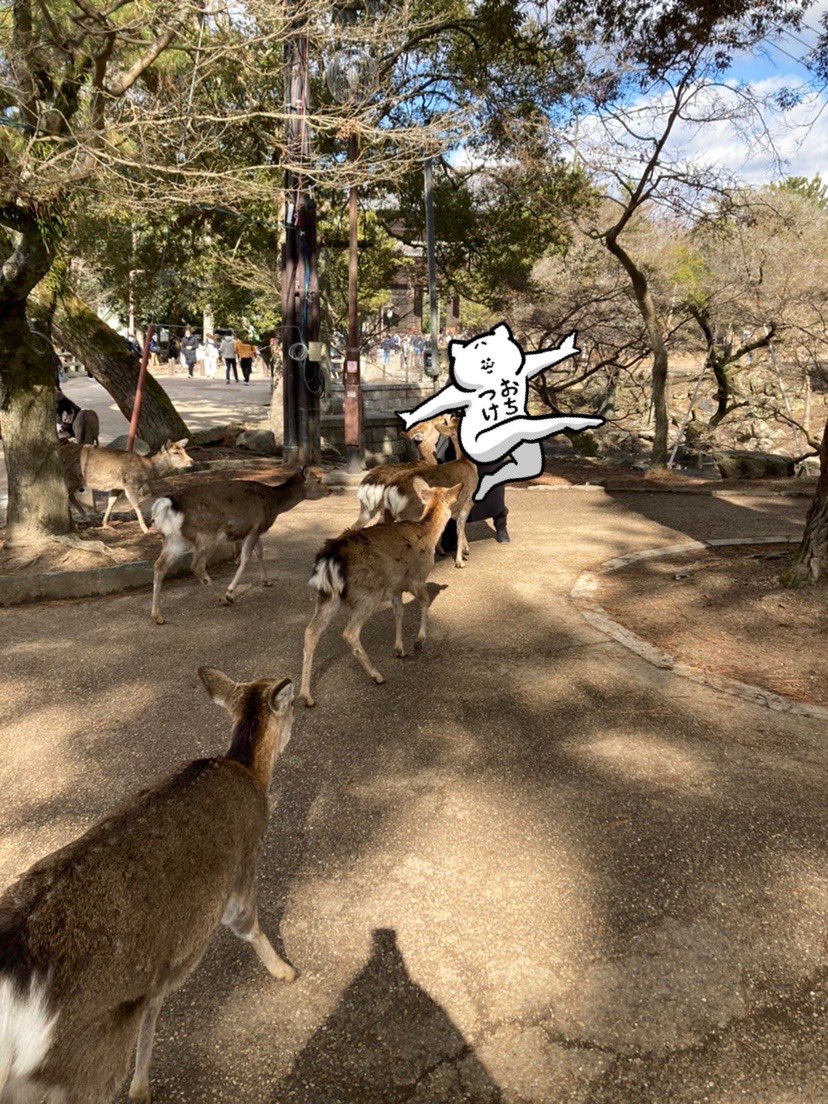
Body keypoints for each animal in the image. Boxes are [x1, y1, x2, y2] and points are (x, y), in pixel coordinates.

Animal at [0, 666, 296, 1104]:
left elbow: (154, 1006)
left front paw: (141, 1088)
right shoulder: (242, 870)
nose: (306, 704)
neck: (250, 771)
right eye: (290, 707)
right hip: (82, 1066)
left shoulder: (161, 965)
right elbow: (250, 926)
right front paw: (285, 971)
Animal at [62, 439, 192, 533]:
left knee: (70, 496)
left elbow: (111, 502)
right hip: (70, 478)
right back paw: (75, 521)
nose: (191, 461)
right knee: (65, 496)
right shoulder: (130, 484)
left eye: (184, 449)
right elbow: (136, 505)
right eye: (175, 452)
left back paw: (84, 517)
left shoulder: (117, 487)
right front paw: (145, 529)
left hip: (76, 481)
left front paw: (105, 524)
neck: (146, 470)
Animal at [150, 467, 330, 624]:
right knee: (196, 566)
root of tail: (167, 504)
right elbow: (246, 558)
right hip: (206, 536)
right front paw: (230, 592)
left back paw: (157, 616)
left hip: (175, 540)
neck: (275, 503)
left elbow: (260, 552)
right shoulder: (255, 527)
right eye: (318, 480)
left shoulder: (251, 531)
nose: (330, 490)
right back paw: (222, 598)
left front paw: (267, 581)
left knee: (159, 565)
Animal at [300, 478, 462, 707]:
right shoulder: (417, 577)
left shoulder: (395, 586)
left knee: (311, 631)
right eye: (453, 500)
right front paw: (419, 641)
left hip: (326, 596)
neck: (427, 532)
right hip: (367, 593)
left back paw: (306, 695)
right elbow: (425, 601)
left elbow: (399, 611)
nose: (458, 514)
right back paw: (376, 675)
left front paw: (399, 649)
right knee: (349, 632)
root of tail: (329, 559)